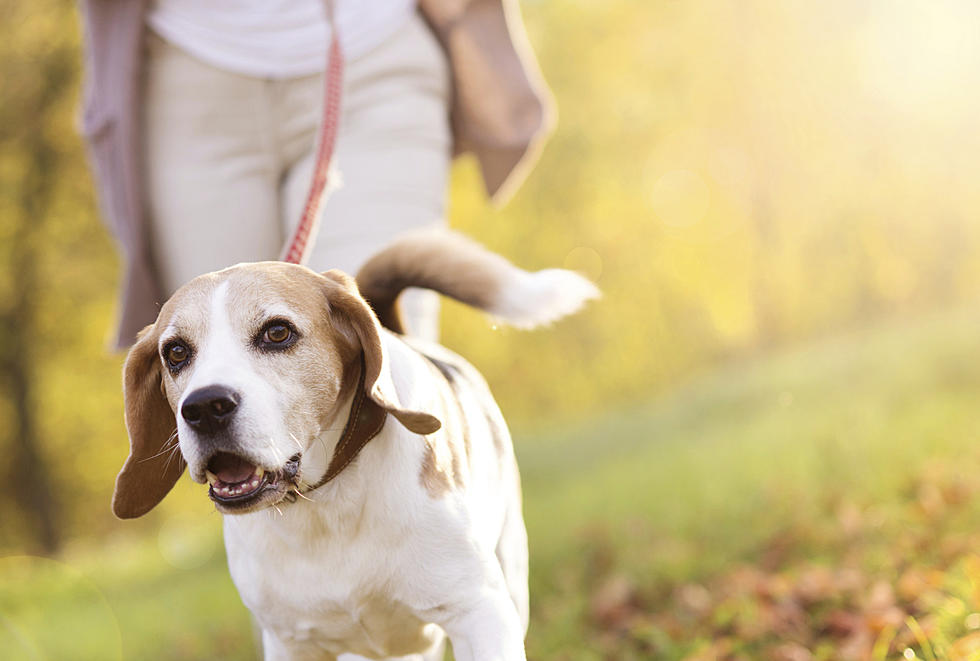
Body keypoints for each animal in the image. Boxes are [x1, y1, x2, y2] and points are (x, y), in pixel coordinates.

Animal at [108, 229, 596, 656]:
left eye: (277, 332)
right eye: (176, 353)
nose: (205, 407)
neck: (326, 507)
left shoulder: (479, 614)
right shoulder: (290, 644)